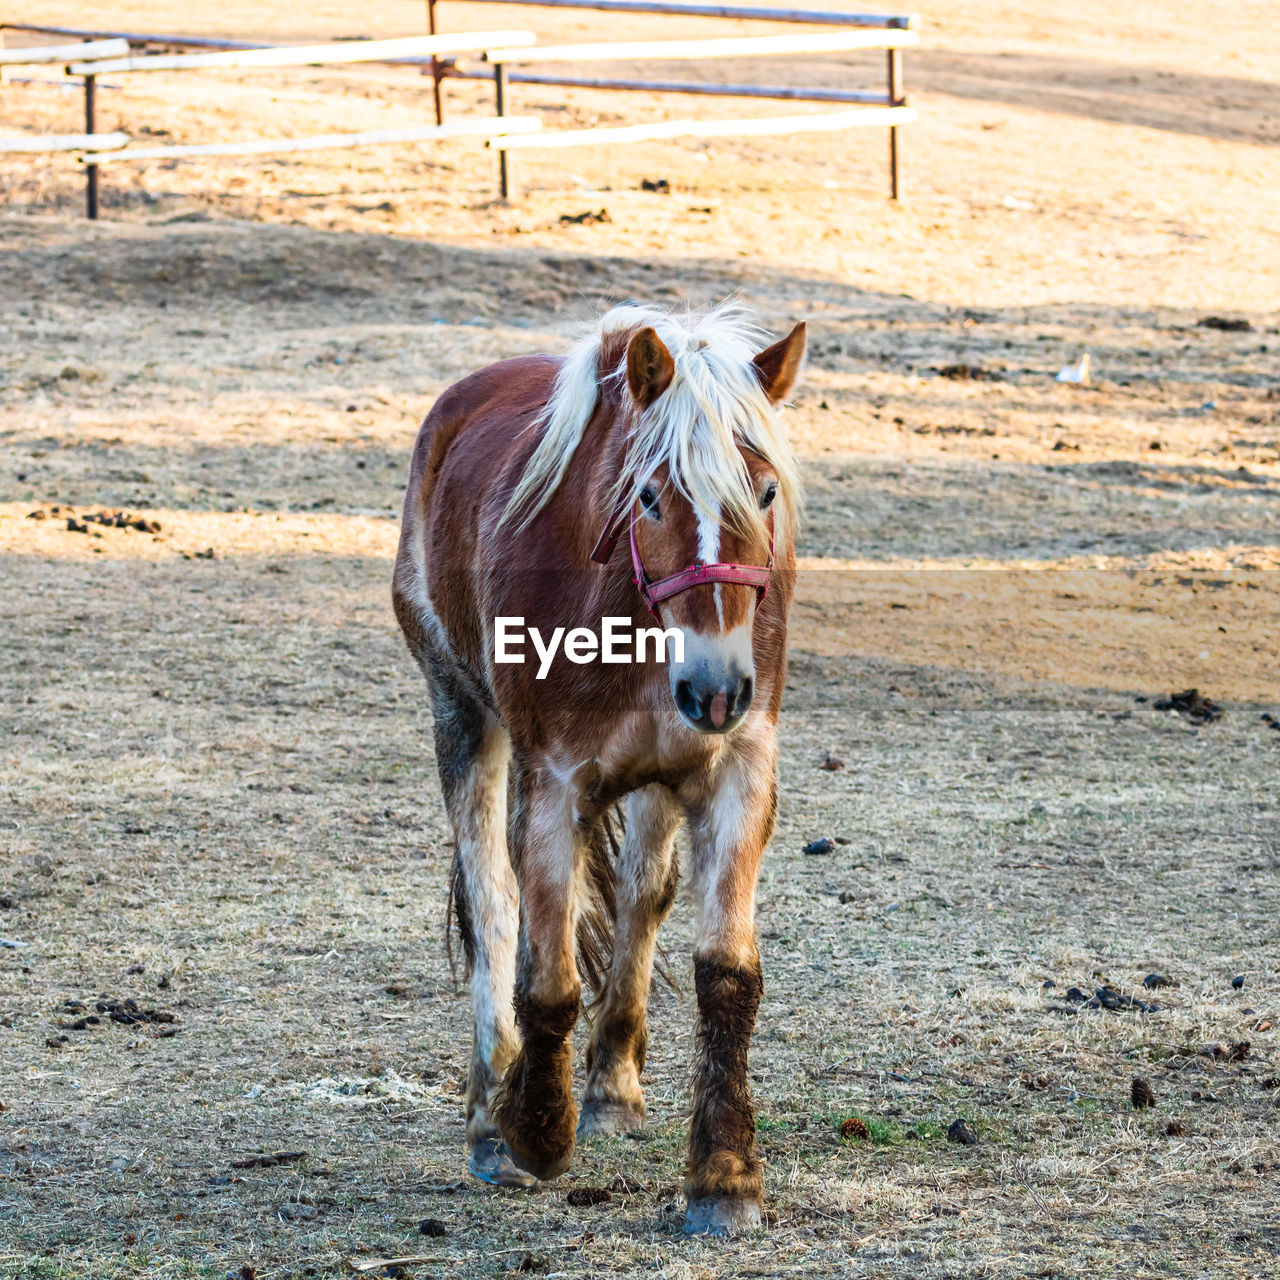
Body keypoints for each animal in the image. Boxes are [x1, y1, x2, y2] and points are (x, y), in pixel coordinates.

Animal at [389, 299, 803, 1228]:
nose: (716, 686)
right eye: (648, 496)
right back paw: (489, 1121)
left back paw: (612, 1086)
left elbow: (727, 973)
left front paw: (724, 1175)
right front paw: (537, 1133)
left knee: (642, 898)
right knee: (494, 908)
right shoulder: (553, 784)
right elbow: (544, 978)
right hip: (461, 715)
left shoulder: (739, 770)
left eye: (763, 492)